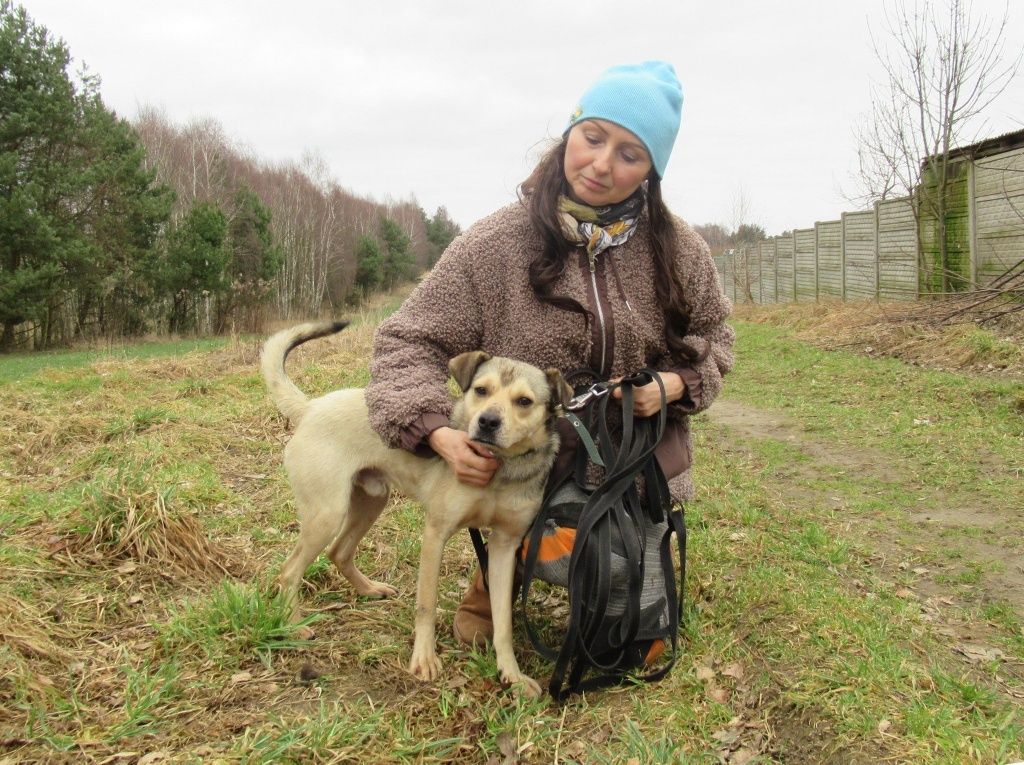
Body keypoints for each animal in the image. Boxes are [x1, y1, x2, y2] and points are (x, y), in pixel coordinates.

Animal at [260, 319, 573, 696]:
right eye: (481, 391)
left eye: (524, 401)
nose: (487, 422)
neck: (499, 468)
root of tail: (311, 407)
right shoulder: (435, 534)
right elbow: (426, 604)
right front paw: (423, 659)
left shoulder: (505, 546)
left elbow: (503, 623)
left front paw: (511, 675)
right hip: (327, 514)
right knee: (289, 571)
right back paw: (294, 627)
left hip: (370, 501)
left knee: (339, 552)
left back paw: (369, 590)